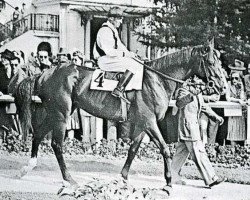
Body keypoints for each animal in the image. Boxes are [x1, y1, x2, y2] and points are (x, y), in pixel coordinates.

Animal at [13, 43, 228, 194]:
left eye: (220, 63)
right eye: (211, 63)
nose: (222, 86)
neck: (156, 79)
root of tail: (44, 73)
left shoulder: (142, 124)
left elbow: (132, 150)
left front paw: (122, 178)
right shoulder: (150, 122)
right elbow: (165, 149)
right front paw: (168, 183)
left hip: (55, 112)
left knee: (38, 134)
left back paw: (27, 168)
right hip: (61, 114)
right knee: (56, 144)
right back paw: (69, 179)